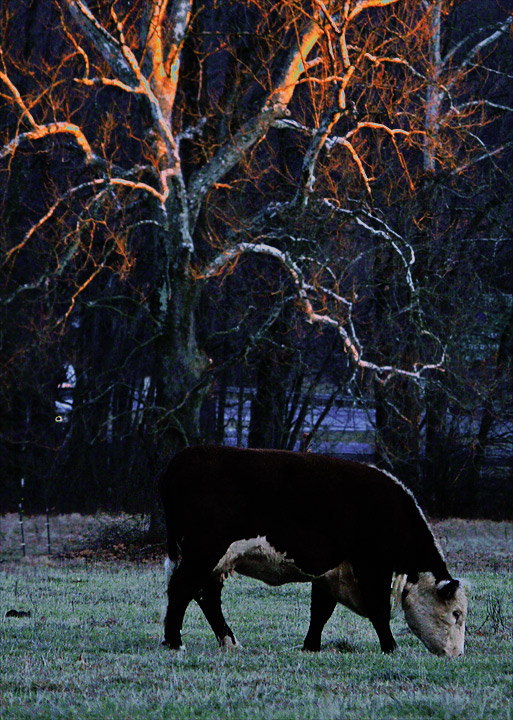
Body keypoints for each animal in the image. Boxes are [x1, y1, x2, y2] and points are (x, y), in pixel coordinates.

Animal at [160, 448, 468, 656]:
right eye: (456, 614)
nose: (458, 654)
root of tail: (183, 457)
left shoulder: (331, 572)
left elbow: (321, 611)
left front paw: (311, 646)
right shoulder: (371, 566)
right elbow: (378, 609)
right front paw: (391, 648)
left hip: (215, 558)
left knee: (206, 596)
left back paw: (230, 643)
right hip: (205, 550)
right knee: (182, 588)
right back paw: (175, 642)